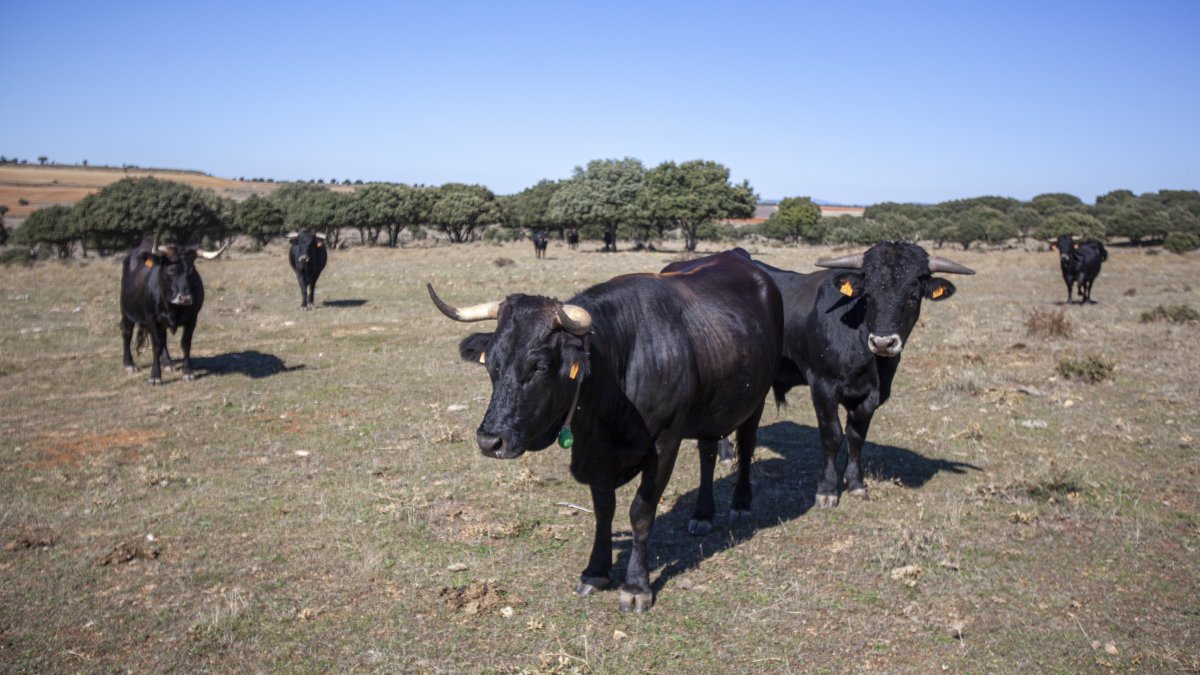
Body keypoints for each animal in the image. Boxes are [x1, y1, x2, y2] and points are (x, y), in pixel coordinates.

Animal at [121, 238, 227, 385]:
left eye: (192, 271)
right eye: (171, 270)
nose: (185, 298)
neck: (173, 308)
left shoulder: (192, 319)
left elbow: (185, 343)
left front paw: (188, 372)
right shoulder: (152, 319)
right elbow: (156, 345)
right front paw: (155, 376)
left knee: (163, 338)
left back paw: (167, 363)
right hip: (126, 311)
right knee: (127, 333)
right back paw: (129, 364)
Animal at [428, 248, 783, 612]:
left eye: (538, 365)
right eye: (490, 364)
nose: (490, 441)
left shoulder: (664, 445)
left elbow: (640, 512)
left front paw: (637, 585)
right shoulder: (595, 454)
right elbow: (603, 510)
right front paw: (596, 572)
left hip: (757, 397)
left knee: (746, 444)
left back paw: (740, 503)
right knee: (708, 451)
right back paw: (703, 513)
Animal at [752, 242, 974, 507]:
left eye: (913, 297)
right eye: (869, 296)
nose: (883, 342)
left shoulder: (873, 394)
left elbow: (856, 436)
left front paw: (856, 484)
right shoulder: (823, 386)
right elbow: (832, 435)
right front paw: (827, 490)